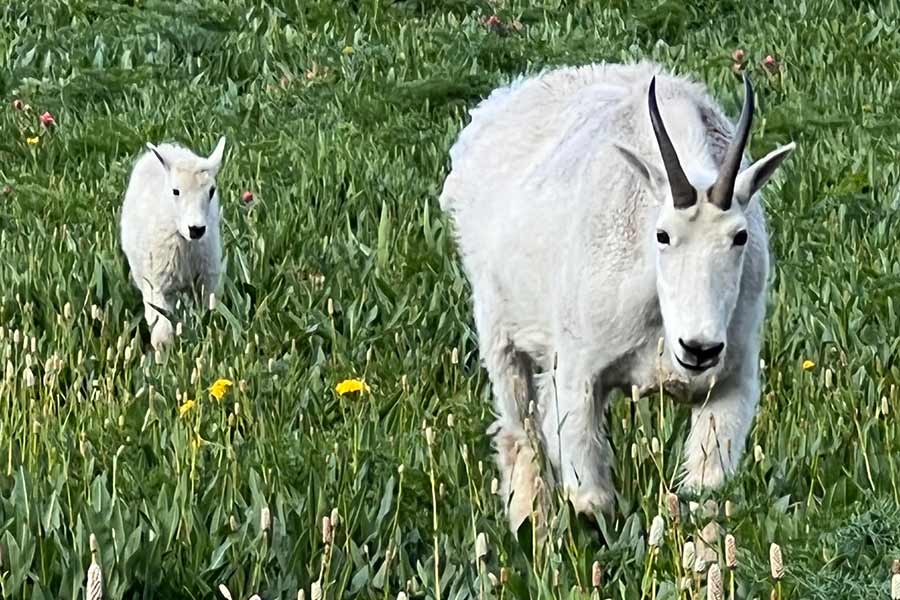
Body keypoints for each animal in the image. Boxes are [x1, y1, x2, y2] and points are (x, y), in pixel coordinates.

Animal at [440, 62, 800, 528]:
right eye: (662, 235)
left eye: (740, 236)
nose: (698, 349)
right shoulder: (577, 375)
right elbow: (591, 501)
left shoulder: (729, 383)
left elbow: (707, 495)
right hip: (498, 327)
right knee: (520, 434)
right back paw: (532, 528)